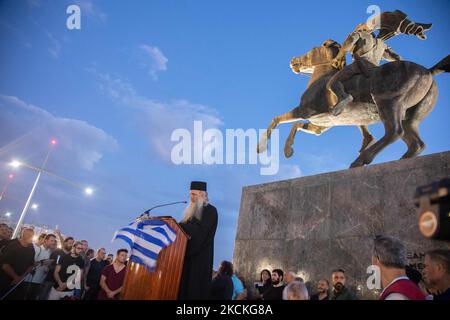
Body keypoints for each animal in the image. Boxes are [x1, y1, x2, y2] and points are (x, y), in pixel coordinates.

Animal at [255, 40, 448, 168]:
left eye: (313, 49)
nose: (293, 61)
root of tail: (427, 71)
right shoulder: (321, 125)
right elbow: (297, 125)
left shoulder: (305, 111)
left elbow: (280, 120)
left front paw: (272, 149)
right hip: (410, 117)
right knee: (416, 143)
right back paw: (400, 159)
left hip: (388, 104)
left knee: (394, 132)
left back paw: (361, 160)